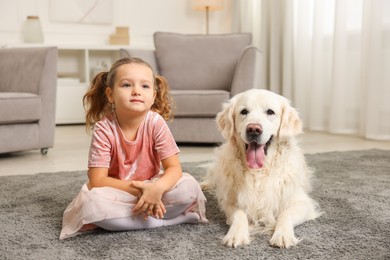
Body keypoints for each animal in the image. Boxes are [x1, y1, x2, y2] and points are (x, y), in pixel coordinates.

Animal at [203, 89, 322, 248]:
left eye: (270, 112)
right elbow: (239, 214)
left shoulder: (302, 202)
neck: (258, 172)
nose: (253, 129)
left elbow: (285, 214)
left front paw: (282, 235)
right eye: (244, 111)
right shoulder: (229, 202)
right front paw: (236, 234)